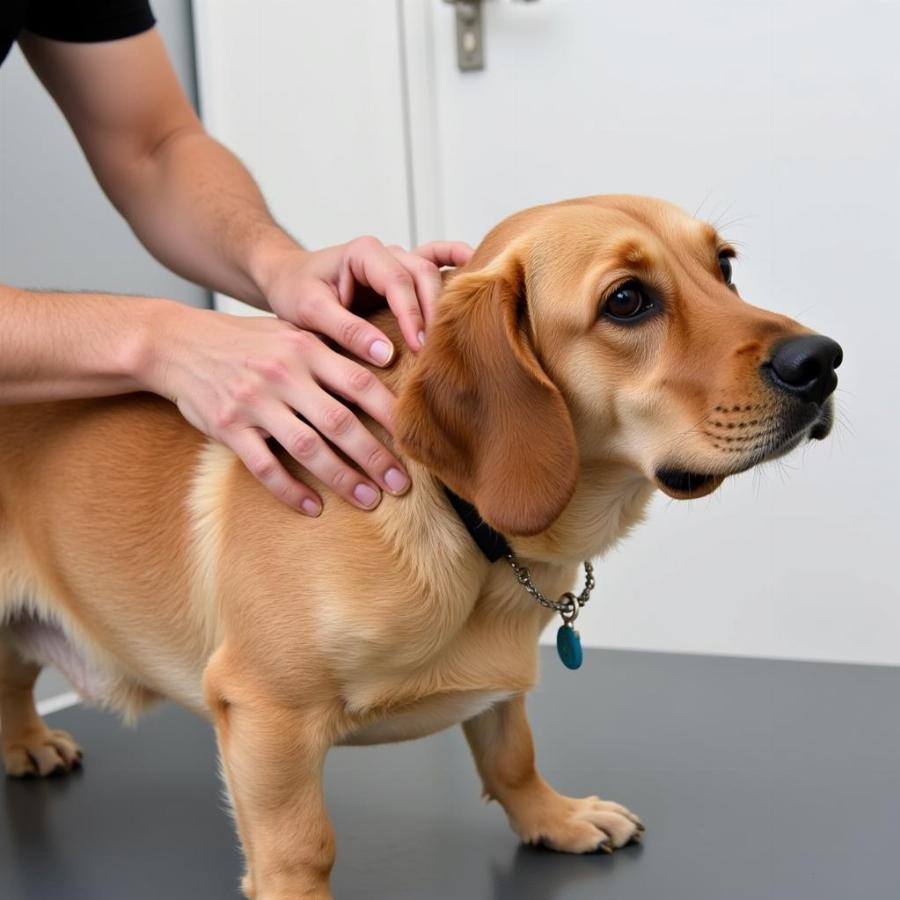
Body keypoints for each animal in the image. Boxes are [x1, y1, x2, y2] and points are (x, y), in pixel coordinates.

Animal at [0, 193, 836, 896]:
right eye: (627, 301)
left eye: (724, 264)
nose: (823, 361)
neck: (470, 529)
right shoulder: (267, 712)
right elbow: (300, 848)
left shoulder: (501, 684)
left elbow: (512, 755)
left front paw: (555, 817)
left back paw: (26, 742)